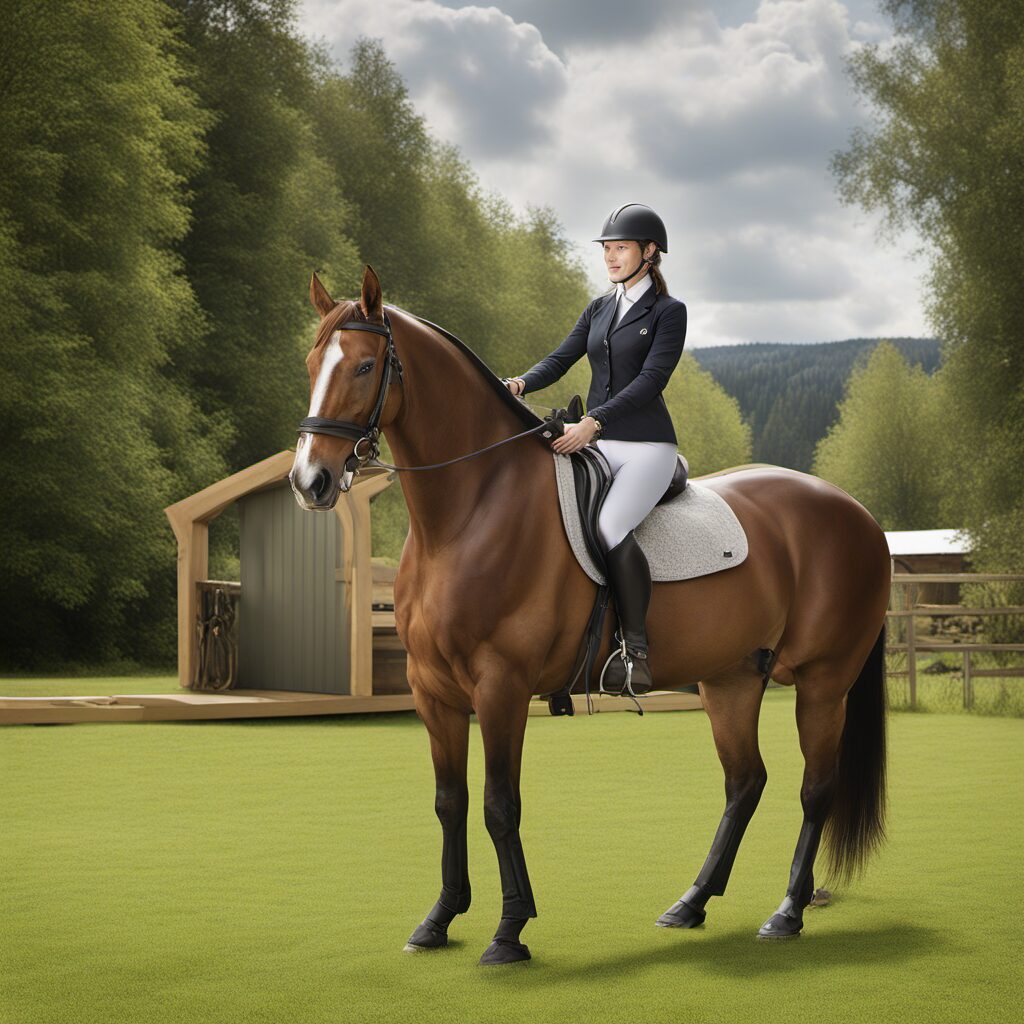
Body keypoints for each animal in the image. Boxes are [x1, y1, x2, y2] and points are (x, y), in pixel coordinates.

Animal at [289, 265, 891, 966]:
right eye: (313, 364)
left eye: (364, 366)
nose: (310, 481)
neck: (470, 513)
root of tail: (857, 513)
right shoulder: (432, 689)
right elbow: (450, 801)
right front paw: (438, 920)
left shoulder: (502, 685)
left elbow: (499, 804)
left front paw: (509, 931)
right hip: (733, 678)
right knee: (745, 781)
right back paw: (690, 905)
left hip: (824, 681)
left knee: (814, 787)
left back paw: (787, 913)